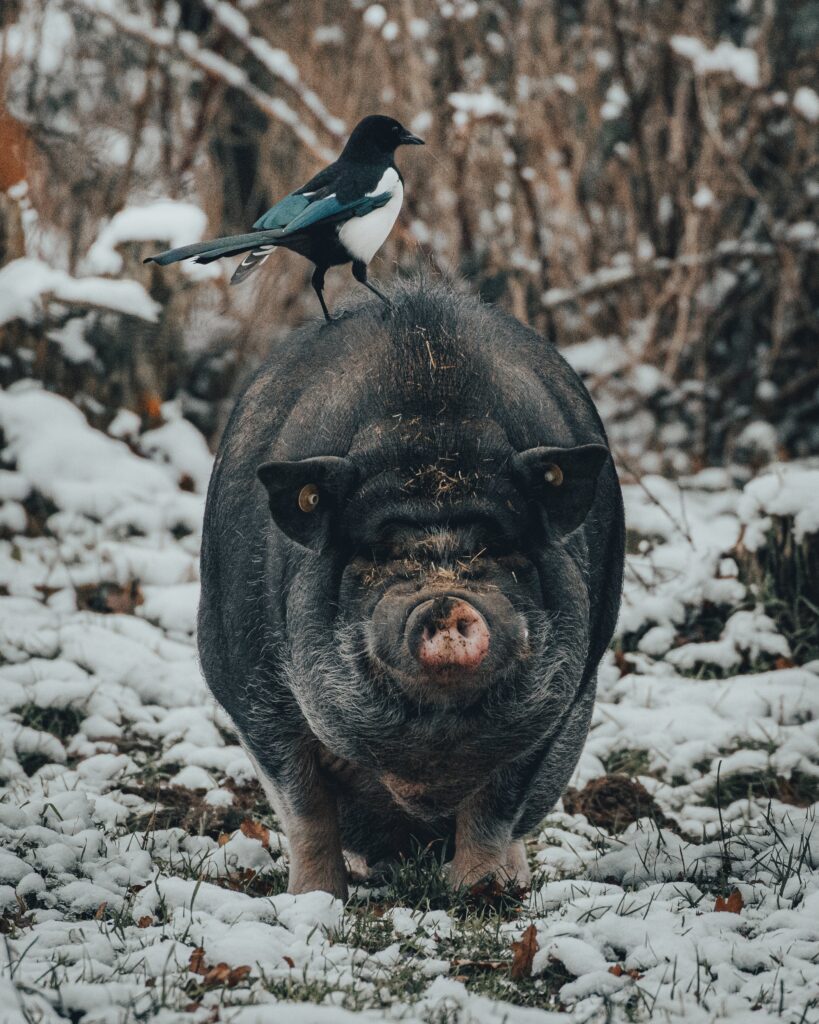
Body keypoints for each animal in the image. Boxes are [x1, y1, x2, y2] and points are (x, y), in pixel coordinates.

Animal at [201, 280, 622, 897]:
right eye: (378, 552)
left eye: (499, 548)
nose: (446, 601)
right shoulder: (252, 688)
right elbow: (305, 806)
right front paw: (313, 899)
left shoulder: (559, 708)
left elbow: (497, 807)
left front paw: (481, 892)